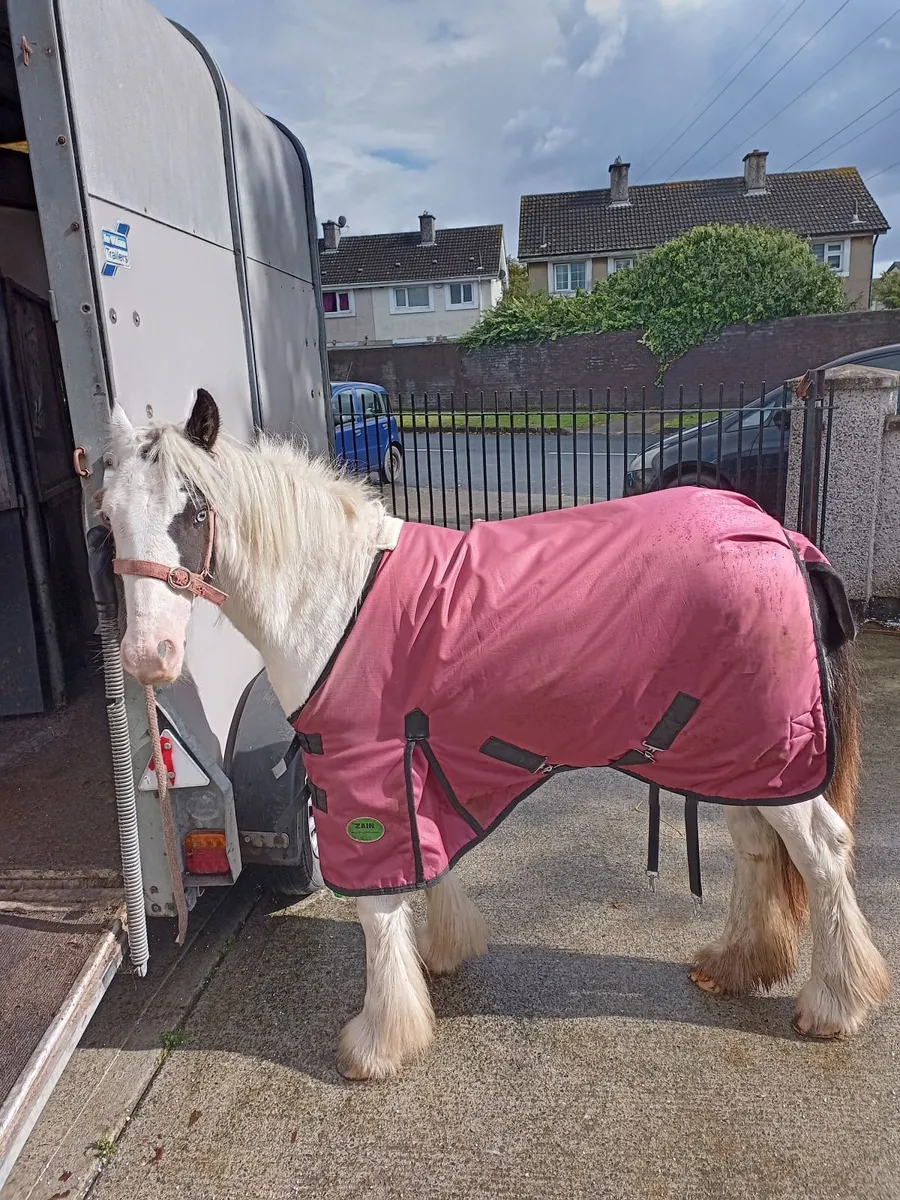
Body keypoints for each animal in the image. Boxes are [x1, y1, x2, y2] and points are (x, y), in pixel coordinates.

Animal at [97, 389, 890, 1081]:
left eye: (193, 510)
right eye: (106, 518)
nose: (148, 657)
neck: (334, 597)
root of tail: (783, 537)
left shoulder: (362, 772)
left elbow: (377, 905)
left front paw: (379, 1042)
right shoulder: (412, 761)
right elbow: (427, 862)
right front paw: (440, 956)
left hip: (771, 755)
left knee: (823, 852)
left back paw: (836, 1004)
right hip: (738, 755)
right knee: (757, 849)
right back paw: (736, 966)